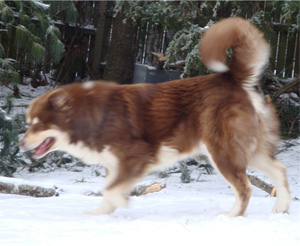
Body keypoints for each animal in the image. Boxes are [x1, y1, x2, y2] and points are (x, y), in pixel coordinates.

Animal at [19, 17, 290, 215]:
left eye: (39, 125)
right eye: (28, 124)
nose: (20, 143)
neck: (90, 115)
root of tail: (231, 78)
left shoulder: (137, 156)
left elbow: (111, 190)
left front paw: (122, 204)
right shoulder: (114, 164)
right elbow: (107, 191)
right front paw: (99, 215)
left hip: (222, 152)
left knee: (245, 188)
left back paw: (232, 216)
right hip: (248, 151)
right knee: (280, 170)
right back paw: (281, 208)